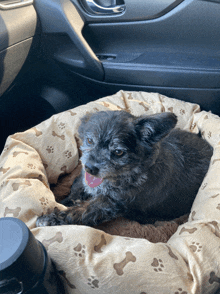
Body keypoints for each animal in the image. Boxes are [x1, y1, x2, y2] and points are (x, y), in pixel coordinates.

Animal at [36, 110, 213, 227]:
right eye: (90, 141)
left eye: (118, 152)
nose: (90, 168)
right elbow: (75, 193)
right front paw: (62, 202)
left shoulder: (108, 204)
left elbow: (81, 211)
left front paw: (52, 218)